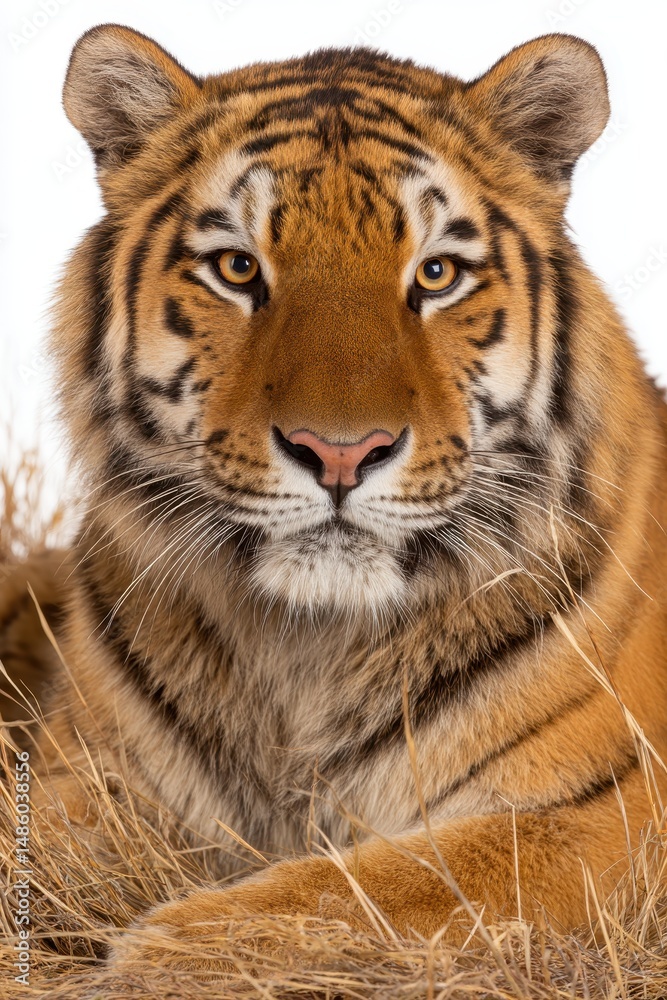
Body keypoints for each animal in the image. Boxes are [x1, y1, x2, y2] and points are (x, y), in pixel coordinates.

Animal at [4, 21, 667, 976]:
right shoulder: (82, 776)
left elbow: (380, 886)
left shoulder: (610, 810)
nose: (340, 452)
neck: (305, 649)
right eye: (237, 268)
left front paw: (165, 949)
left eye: (436, 274)